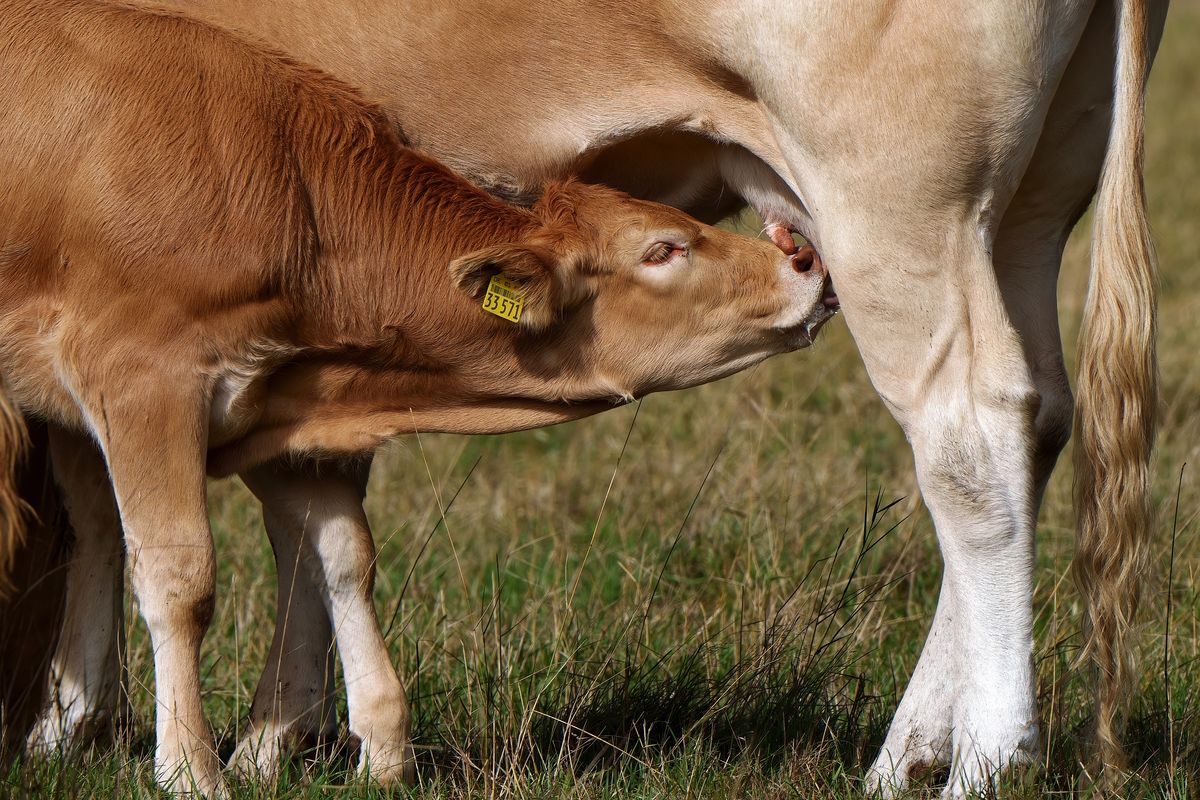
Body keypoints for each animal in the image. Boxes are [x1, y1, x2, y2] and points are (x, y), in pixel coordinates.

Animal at [21, 0, 1171, 796]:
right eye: (660, 244)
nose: (794, 264)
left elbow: (123, 517)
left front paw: (85, 722)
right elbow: (267, 504)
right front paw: (273, 731)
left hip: (900, 206)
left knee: (972, 435)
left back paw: (985, 754)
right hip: (1028, 204)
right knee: (1041, 414)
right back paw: (908, 753)